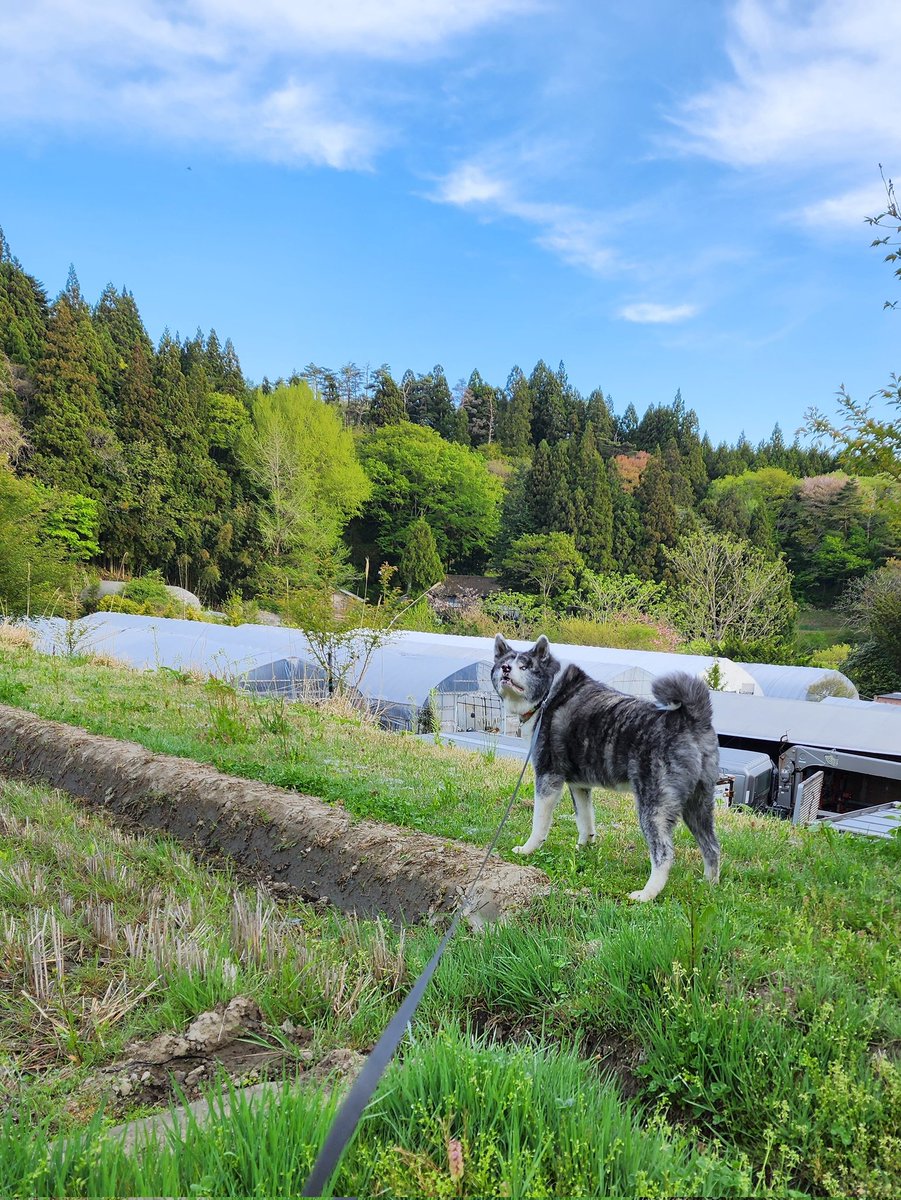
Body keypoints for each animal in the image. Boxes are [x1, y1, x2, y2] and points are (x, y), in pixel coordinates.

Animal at [489, 638, 724, 902]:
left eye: (525, 666)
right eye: (504, 663)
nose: (506, 670)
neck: (548, 694)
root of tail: (691, 719)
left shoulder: (548, 778)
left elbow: (539, 822)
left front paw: (528, 849)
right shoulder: (579, 786)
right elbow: (585, 820)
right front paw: (583, 849)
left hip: (654, 807)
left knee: (664, 854)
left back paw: (647, 894)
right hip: (698, 804)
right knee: (712, 847)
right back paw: (709, 886)